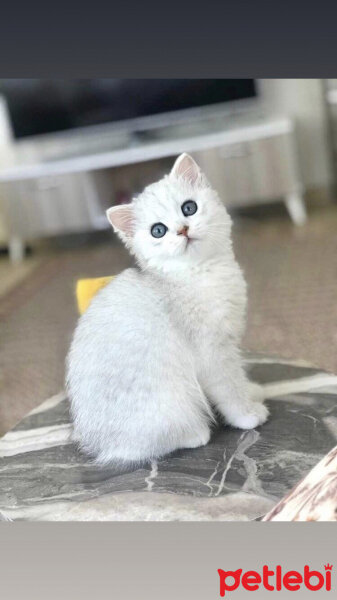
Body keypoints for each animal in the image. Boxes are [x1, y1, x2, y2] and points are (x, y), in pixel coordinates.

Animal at [66, 154, 268, 464]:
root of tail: (95, 442)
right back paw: (196, 433)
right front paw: (247, 415)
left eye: (189, 207)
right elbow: (230, 388)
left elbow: (240, 379)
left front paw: (253, 391)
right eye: (158, 231)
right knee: (148, 445)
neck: (201, 272)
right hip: (173, 399)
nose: (182, 230)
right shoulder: (212, 353)